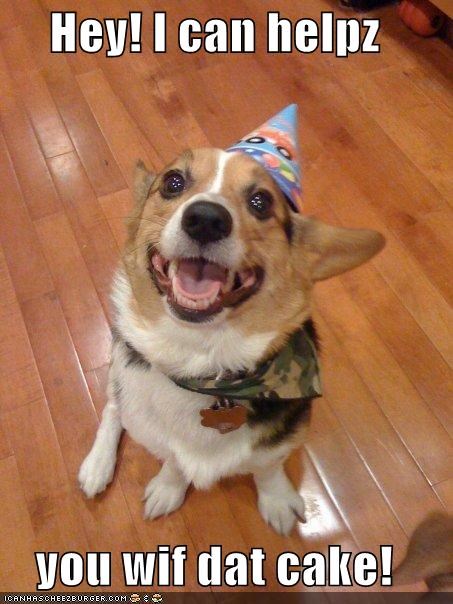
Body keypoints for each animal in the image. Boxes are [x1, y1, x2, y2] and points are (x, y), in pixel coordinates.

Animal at [78, 147, 384, 535]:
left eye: (261, 202)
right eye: (173, 182)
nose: (206, 219)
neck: (204, 364)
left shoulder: (282, 438)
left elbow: (267, 467)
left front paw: (277, 500)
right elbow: (174, 460)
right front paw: (168, 488)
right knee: (114, 406)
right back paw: (97, 466)